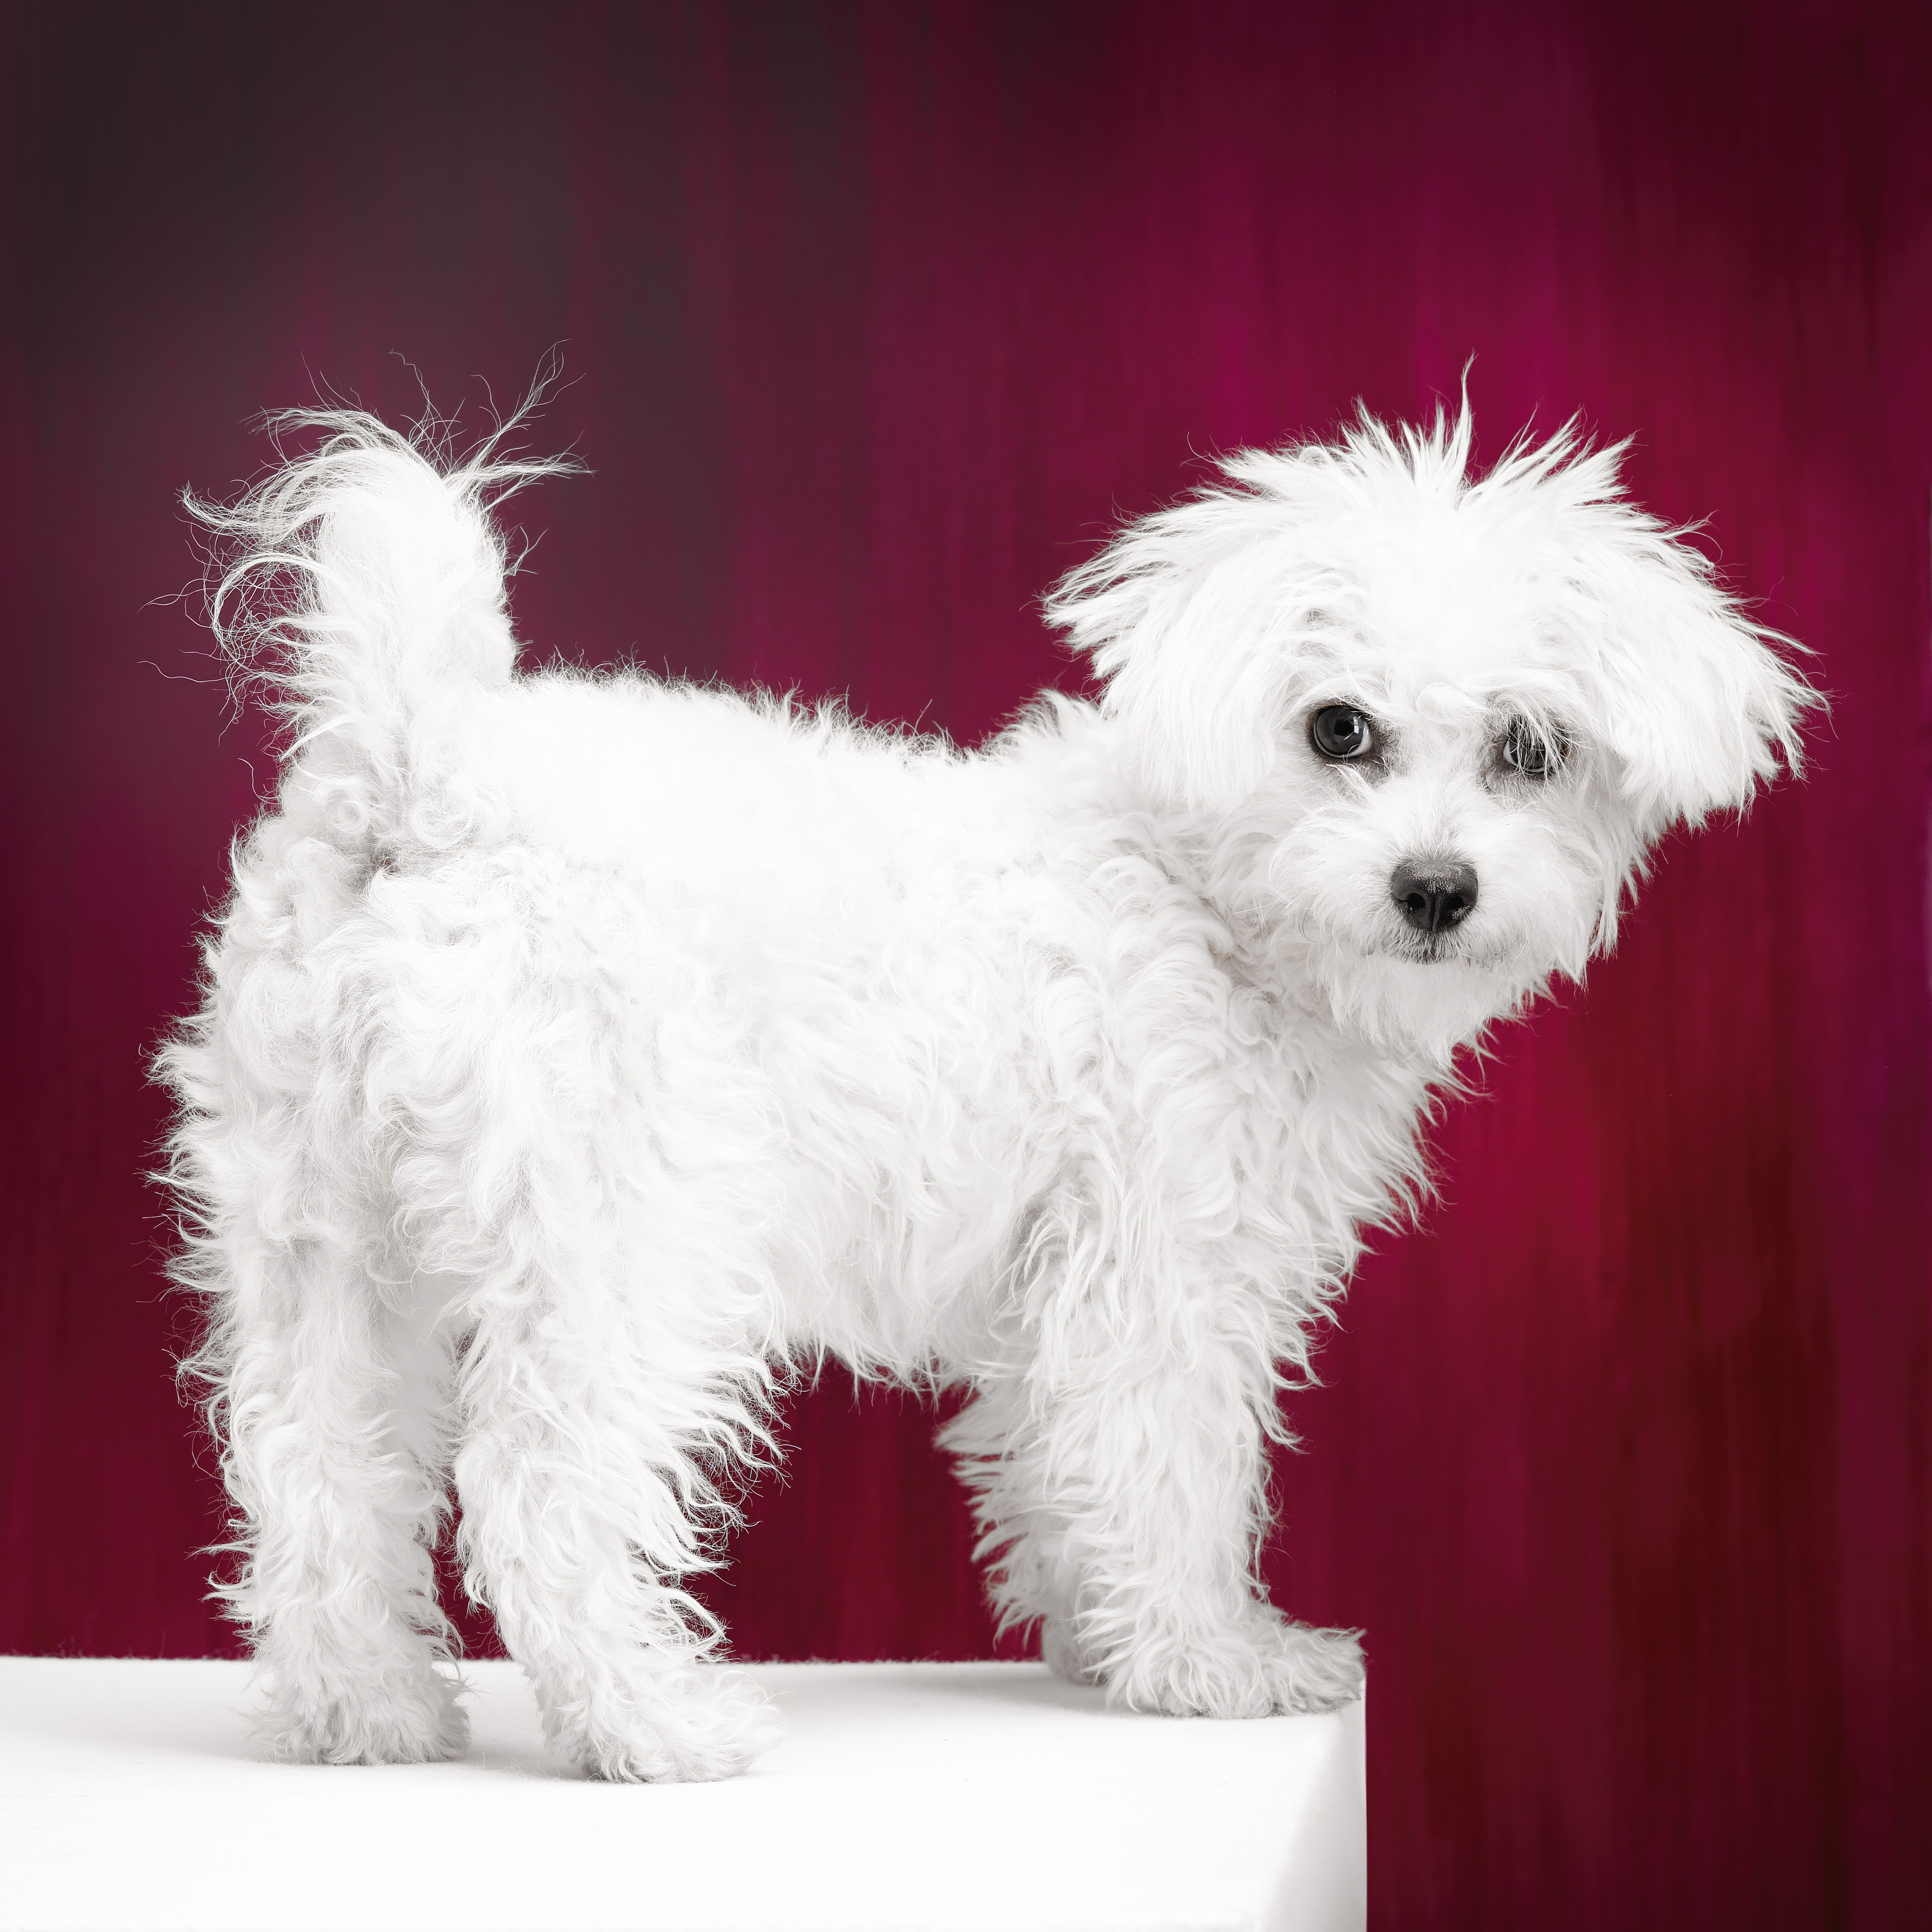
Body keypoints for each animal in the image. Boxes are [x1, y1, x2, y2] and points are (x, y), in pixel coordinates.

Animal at [162, 404, 1808, 1777]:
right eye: (1337, 726)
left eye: (1531, 748)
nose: (1436, 887)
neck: (1198, 891)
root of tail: (422, 774)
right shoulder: (1156, 1276)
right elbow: (1174, 1467)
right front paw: (1212, 1661)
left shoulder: (1050, 1300)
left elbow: (1063, 1466)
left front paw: (1101, 1641)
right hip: (619, 1244)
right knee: (542, 1486)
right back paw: (655, 1727)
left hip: (320, 1249)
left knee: (316, 1471)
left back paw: (363, 1714)